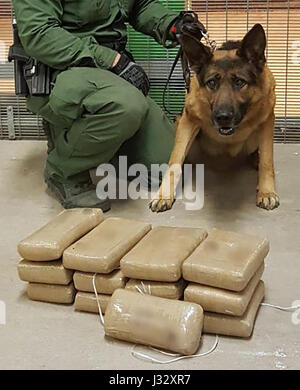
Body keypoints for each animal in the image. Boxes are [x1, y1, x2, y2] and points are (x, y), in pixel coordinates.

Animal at [150, 23, 278, 213]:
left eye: (239, 82)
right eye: (211, 83)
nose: (222, 117)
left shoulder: (267, 121)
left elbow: (267, 162)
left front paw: (267, 192)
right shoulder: (188, 121)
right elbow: (175, 159)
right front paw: (164, 194)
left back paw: (256, 158)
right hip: (179, 122)